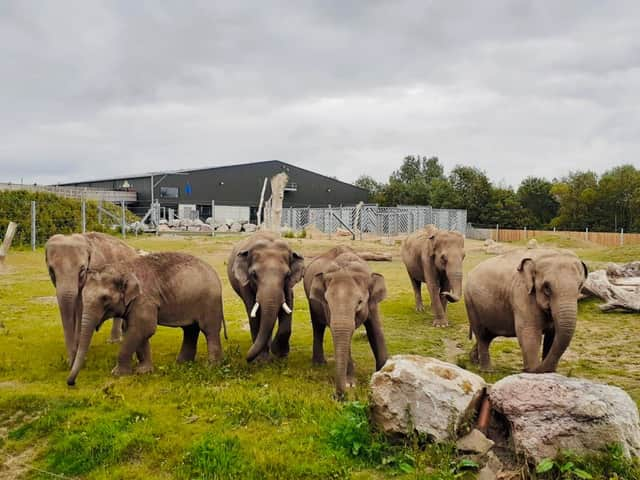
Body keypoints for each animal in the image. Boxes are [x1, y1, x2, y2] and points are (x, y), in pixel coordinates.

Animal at [67, 251, 228, 386]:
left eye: (105, 298)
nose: (71, 383)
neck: (123, 268)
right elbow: (134, 330)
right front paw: (144, 372)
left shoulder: (144, 299)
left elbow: (144, 328)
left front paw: (118, 374)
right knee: (190, 330)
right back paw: (182, 364)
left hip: (209, 301)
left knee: (209, 330)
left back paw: (211, 367)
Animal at [226, 232, 304, 360]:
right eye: (253, 274)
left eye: (287, 275)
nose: (247, 358)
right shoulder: (245, 284)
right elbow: (254, 312)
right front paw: (261, 360)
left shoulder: (288, 285)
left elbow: (288, 303)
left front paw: (280, 354)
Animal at [304, 246, 388, 400]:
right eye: (327, 301)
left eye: (360, 302)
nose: (338, 396)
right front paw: (350, 385)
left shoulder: (372, 304)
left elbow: (375, 331)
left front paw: (384, 373)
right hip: (311, 299)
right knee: (317, 326)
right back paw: (319, 364)